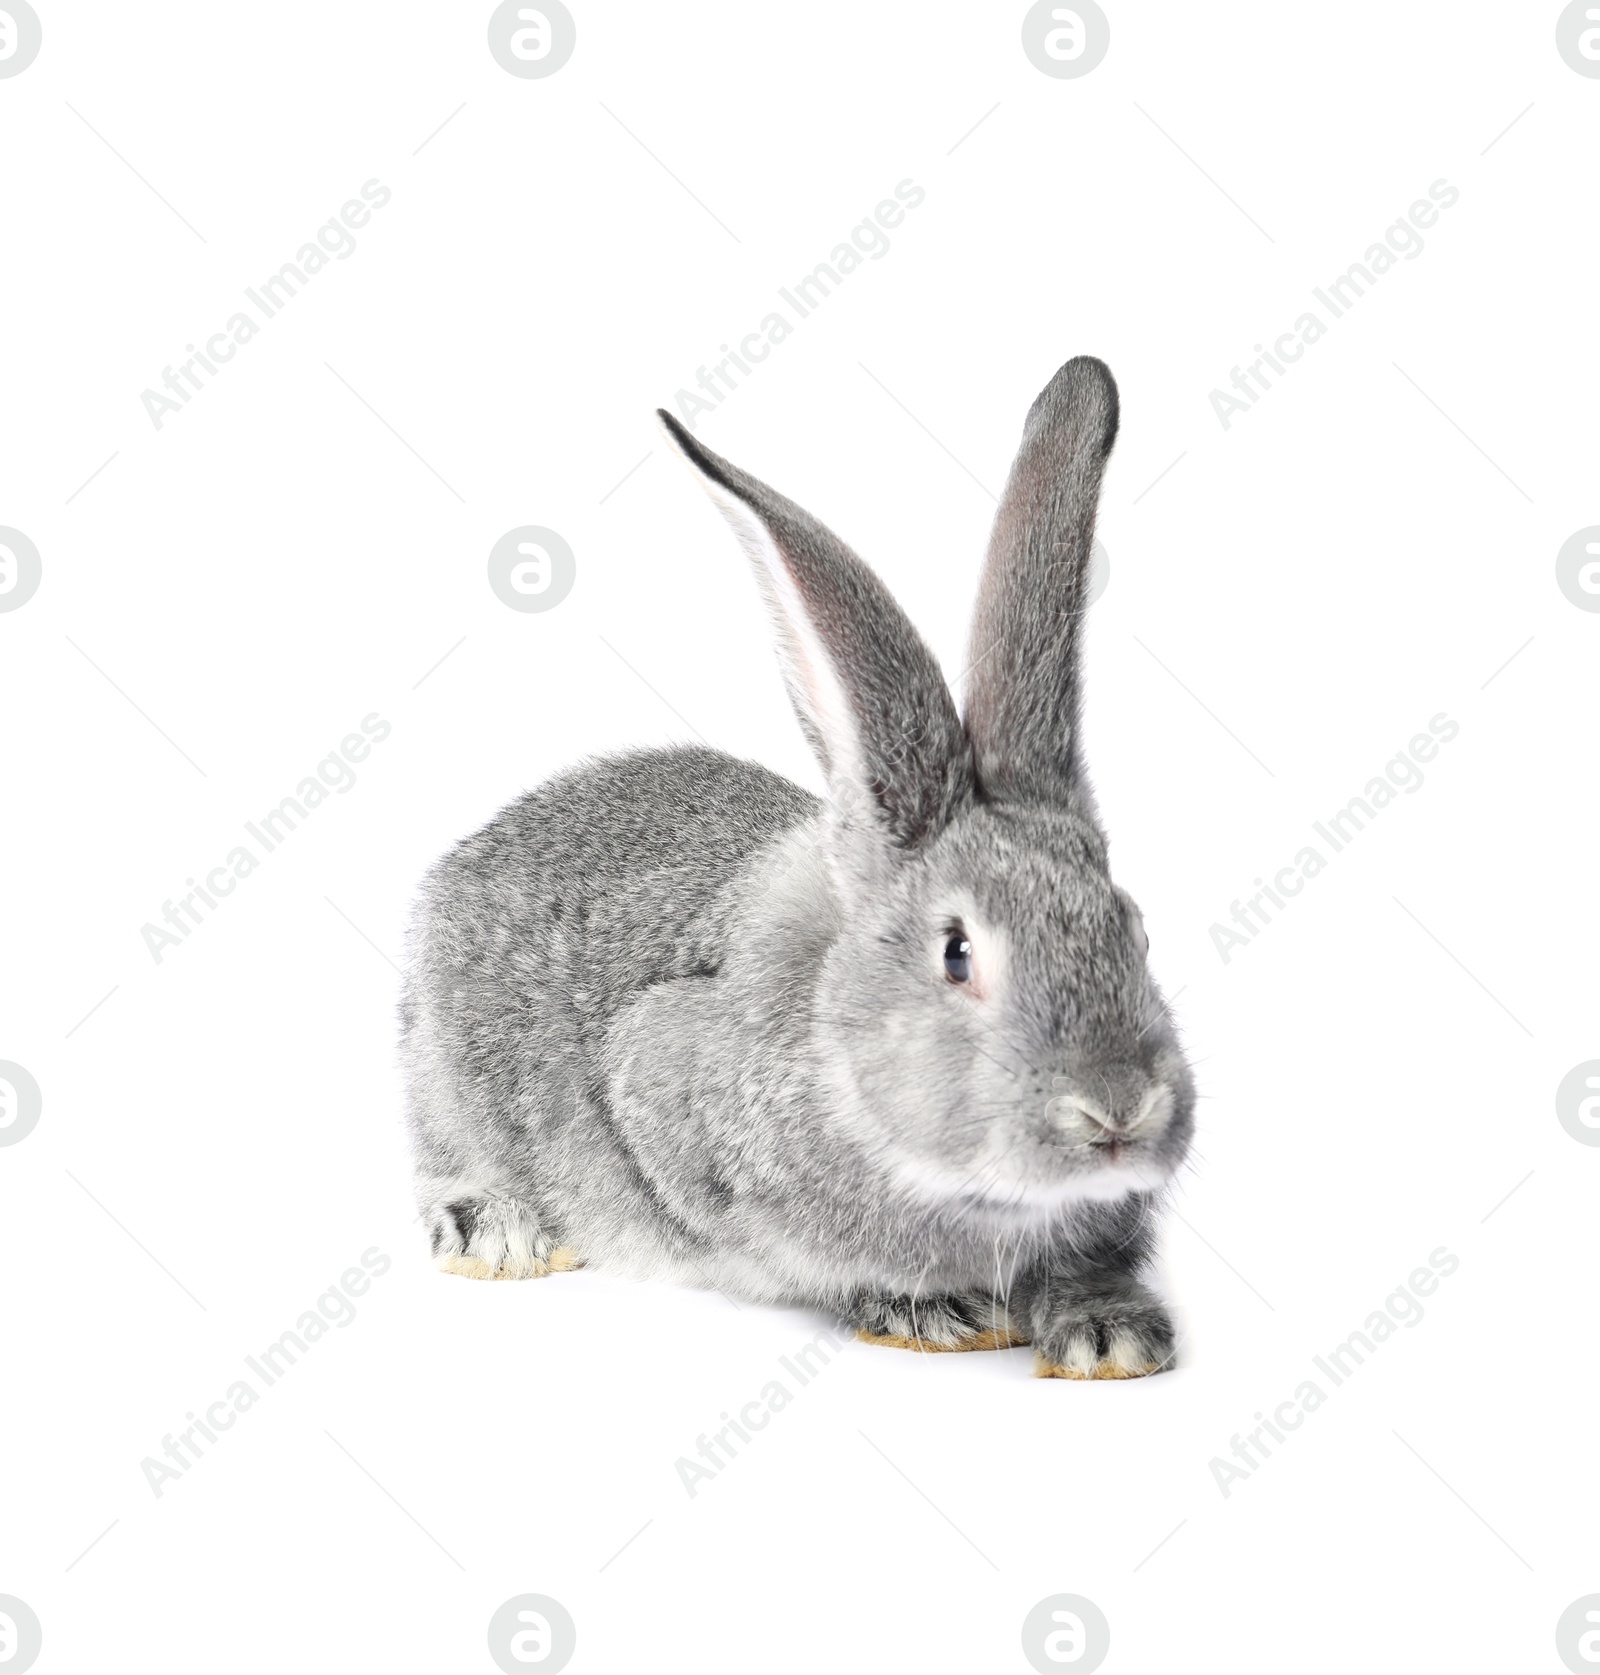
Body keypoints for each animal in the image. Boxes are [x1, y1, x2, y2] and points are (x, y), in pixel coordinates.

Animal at [407, 353, 1192, 1373]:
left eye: (1134, 929)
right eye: (957, 953)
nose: (1117, 1107)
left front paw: (1111, 1330)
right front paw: (933, 1311)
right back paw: (494, 1230)